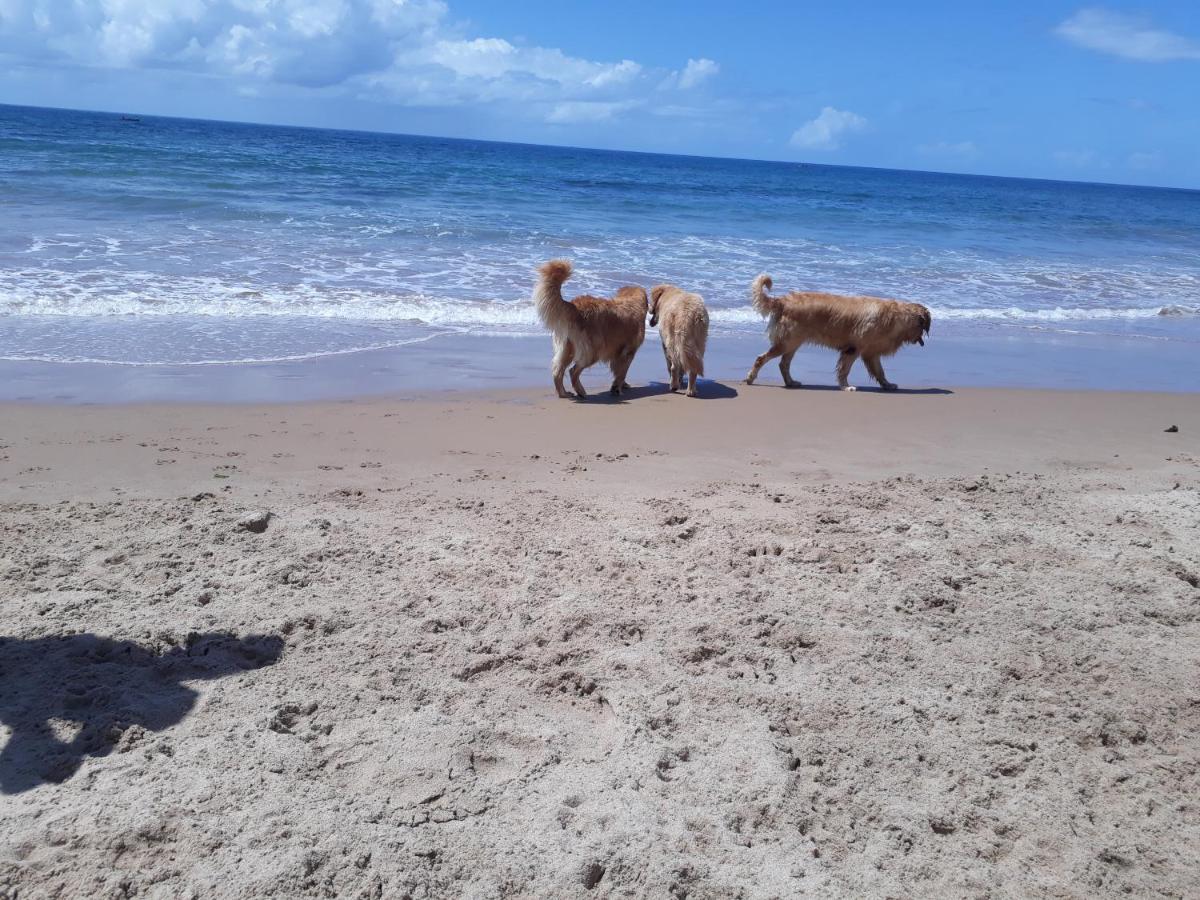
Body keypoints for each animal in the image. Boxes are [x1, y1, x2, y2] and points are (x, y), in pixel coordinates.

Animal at [535, 262, 648, 400]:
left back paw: (564, 393)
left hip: (567, 347)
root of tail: (575, 306)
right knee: (573, 371)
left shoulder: (618, 354)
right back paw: (581, 391)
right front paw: (617, 388)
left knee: (557, 371)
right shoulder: (628, 352)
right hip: (593, 350)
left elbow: (619, 371)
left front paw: (622, 385)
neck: (631, 301)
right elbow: (622, 372)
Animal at [744, 273, 931, 388]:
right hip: (787, 342)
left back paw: (791, 382)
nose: (923, 340)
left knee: (783, 364)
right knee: (762, 358)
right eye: (924, 326)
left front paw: (887, 384)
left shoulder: (871, 353)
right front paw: (846, 386)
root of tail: (782, 300)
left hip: (793, 343)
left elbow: (880, 371)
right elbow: (844, 369)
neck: (895, 317)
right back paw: (750, 378)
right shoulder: (853, 349)